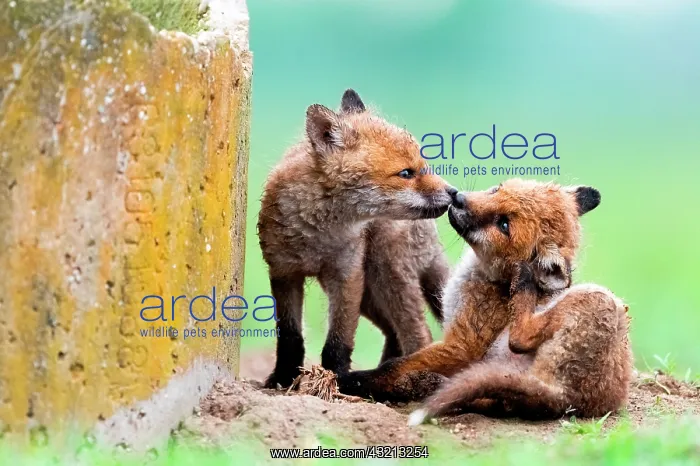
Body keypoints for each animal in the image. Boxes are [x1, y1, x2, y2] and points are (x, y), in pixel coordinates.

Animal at [258, 89, 458, 388]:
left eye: (425, 167)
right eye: (406, 173)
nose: (454, 193)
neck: (317, 236)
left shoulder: (347, 274)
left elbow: (338, 341)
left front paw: (336, 379)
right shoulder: (284, 273)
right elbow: (290, 336)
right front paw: (283, 377)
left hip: (387, 275)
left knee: (420, 335)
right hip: (371, 292)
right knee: (394, 334)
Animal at [337, 179, 633, 423]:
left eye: (503, 225)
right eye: (497, 189)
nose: (457, 198)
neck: (492, 281)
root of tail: (565, 399)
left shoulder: (463, 345)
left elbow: (393, 367)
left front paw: (352, 380)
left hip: (596, 298)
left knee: (520, 339)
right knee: (501, 402)